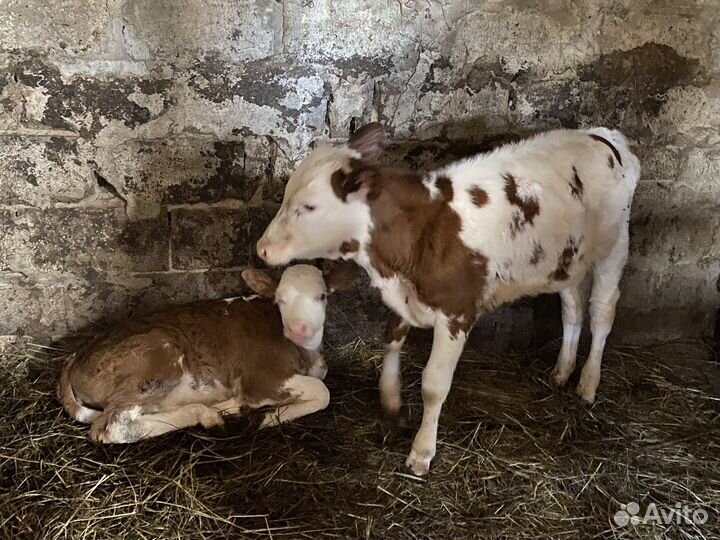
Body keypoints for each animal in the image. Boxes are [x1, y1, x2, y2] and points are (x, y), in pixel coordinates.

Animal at [58, 264, 356, 443]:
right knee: (112, 427)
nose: (300, 329)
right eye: (280, 299)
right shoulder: (263, 379)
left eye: (322, 296)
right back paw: (208, 415)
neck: (306, 353)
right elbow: (323, 392)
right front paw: (270, 417)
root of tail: (74, 357)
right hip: (159, 355)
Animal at [256, 123, 640, 475]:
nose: (262, 248)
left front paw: (422, 451)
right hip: (565, 262)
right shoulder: (405, 296)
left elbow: (433, 385)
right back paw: (561, 371)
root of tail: (604, 135)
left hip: (613, 248)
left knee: (602, 312)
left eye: (309, 206)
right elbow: (390, 342)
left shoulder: (457, 312)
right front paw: (391, 399)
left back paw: (588, 384)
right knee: (572, 307)